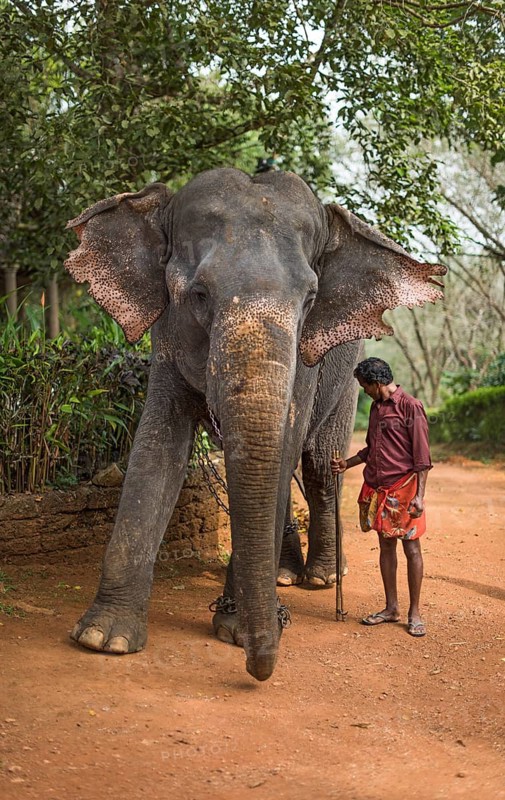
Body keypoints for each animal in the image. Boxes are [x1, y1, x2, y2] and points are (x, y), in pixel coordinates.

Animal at [64, 167, 446, 682]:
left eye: (310, 300)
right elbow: (157, 448)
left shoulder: (307, 362)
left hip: (348, 376)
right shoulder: (168, 337)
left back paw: (323, 578)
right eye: (199, 294)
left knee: (317, 467)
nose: (260, 667)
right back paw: (282, 577)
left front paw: (235, 632)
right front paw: (104, 639)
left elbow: (283, 449)